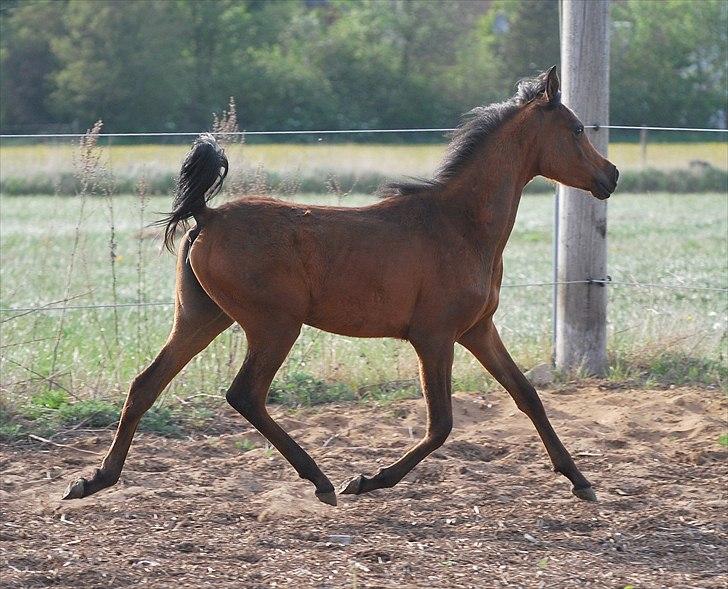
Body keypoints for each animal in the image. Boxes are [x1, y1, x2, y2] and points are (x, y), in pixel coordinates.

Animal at [64, 65, 620, 506]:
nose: (611, 175)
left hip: (203, 316)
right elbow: (441, 423)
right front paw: (369, 480)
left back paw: (94, 480)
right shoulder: (434, 336)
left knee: (146, 384)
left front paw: (580, 480)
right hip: (274, 325)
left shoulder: (478, 329)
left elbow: (527, 395)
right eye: (576, 128)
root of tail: (208, 214)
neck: (460, 225)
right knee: (245, 394)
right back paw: (322, 481)